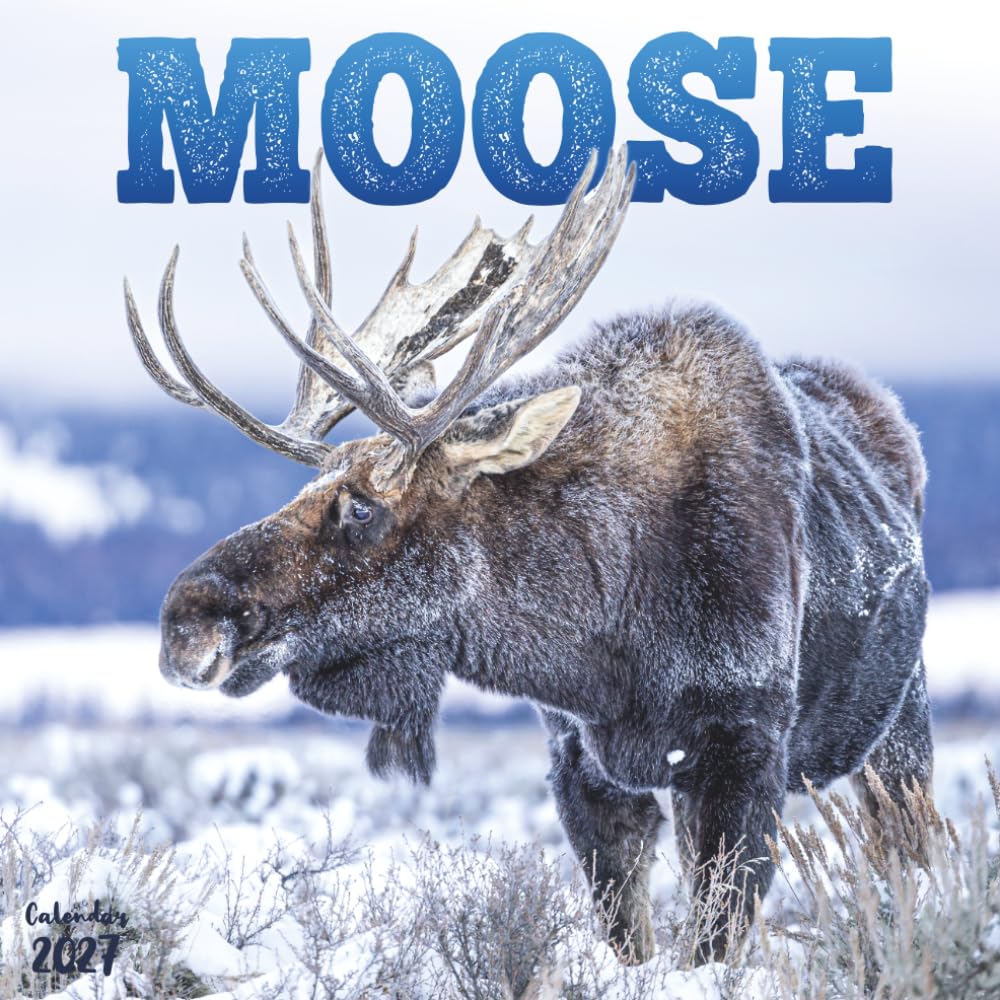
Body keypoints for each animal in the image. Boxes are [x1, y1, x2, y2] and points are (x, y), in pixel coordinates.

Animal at [124, 147, 933, 965]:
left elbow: (715, 940)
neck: (606, 639)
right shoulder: (579, 761)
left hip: (900, 727)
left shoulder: (743, 747)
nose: (184, 621)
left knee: (907, 853)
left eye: (361, 506)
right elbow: (628, 936)